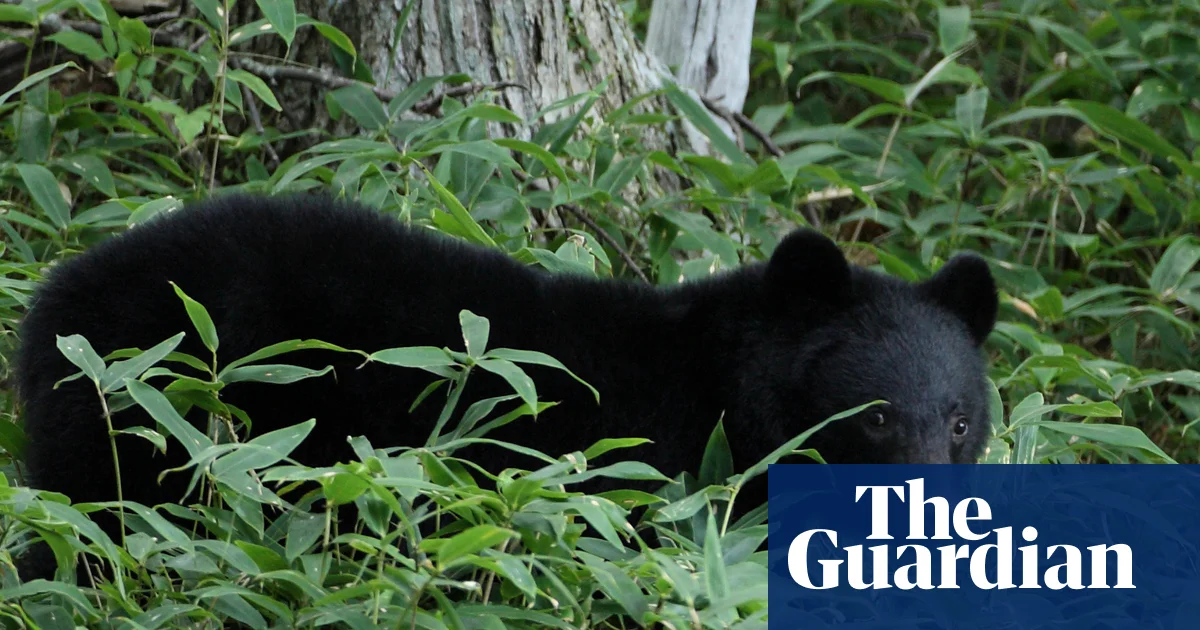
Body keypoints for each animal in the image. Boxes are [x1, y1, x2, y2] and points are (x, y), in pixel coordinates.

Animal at [14, 193, 997, 580]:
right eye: (874, 418)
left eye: (959, 422)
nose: (933, 521)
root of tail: (54, 297)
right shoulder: (657, 469)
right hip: (153, 411)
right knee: (98, 525)